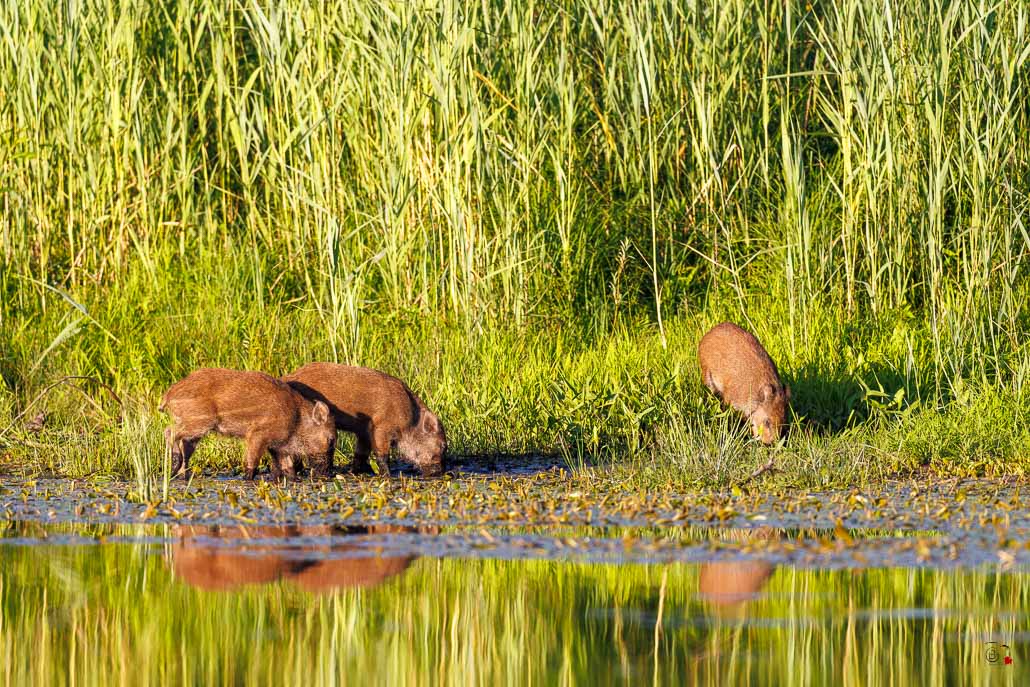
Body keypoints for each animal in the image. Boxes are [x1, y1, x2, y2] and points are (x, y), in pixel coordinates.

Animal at [159, 368, 336, 480]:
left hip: (194, 429)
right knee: (168, 431)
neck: (296, 419)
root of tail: (168, 395)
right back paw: (174, 464)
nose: (328, 474)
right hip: (199, 422)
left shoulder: (279, 445)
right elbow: (252, 463)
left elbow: (289, 467)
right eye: (331, 439)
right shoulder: (257, 435)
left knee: (183, 444)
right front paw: (247, 478)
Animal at [282, 363, 447, 477]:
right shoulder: (381, 428)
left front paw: (354, 472)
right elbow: (381, 455)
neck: (410, 417)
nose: (440, 473)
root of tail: (287, 378)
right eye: (443, 446)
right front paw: (387, 475)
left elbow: (360, 454)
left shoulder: (364, 432)